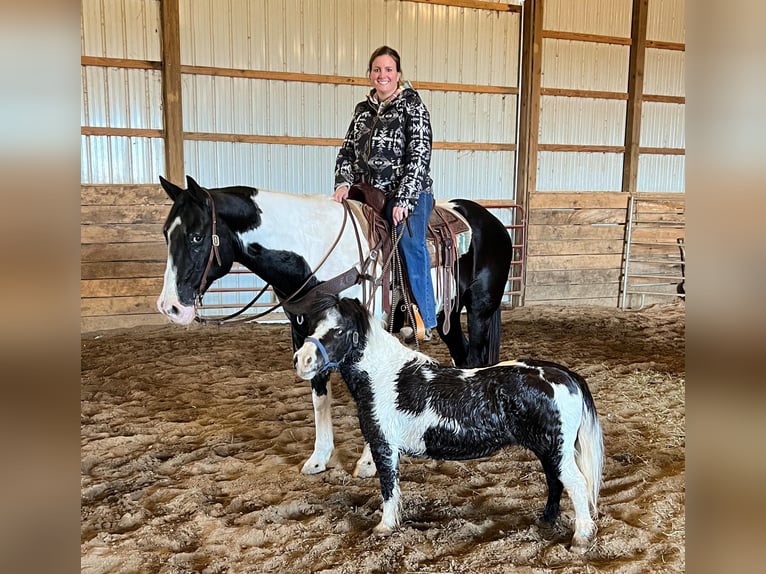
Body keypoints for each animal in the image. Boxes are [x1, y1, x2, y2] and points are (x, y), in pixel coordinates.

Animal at [157, 177, 512, 482]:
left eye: (196, 236)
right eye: (165, 234)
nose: (170, 306)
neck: (315, 252)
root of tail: (492, 222)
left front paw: (368, 462)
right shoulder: (305, 335)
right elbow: (319, 397)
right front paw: (318, 458)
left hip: (480, 310)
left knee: (476, 359)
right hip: (447, 316)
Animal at [294, 300, 608, 552]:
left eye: (339, 330)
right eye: (314, 325)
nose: (302, 360)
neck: (383, 375)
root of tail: (564, 375)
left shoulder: (384, 447)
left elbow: (388, 488)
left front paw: (385, 527)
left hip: (556, 450)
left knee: (576, 484)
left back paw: (580, 539)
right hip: (549, 450)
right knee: (556, 482)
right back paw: (546, 520)